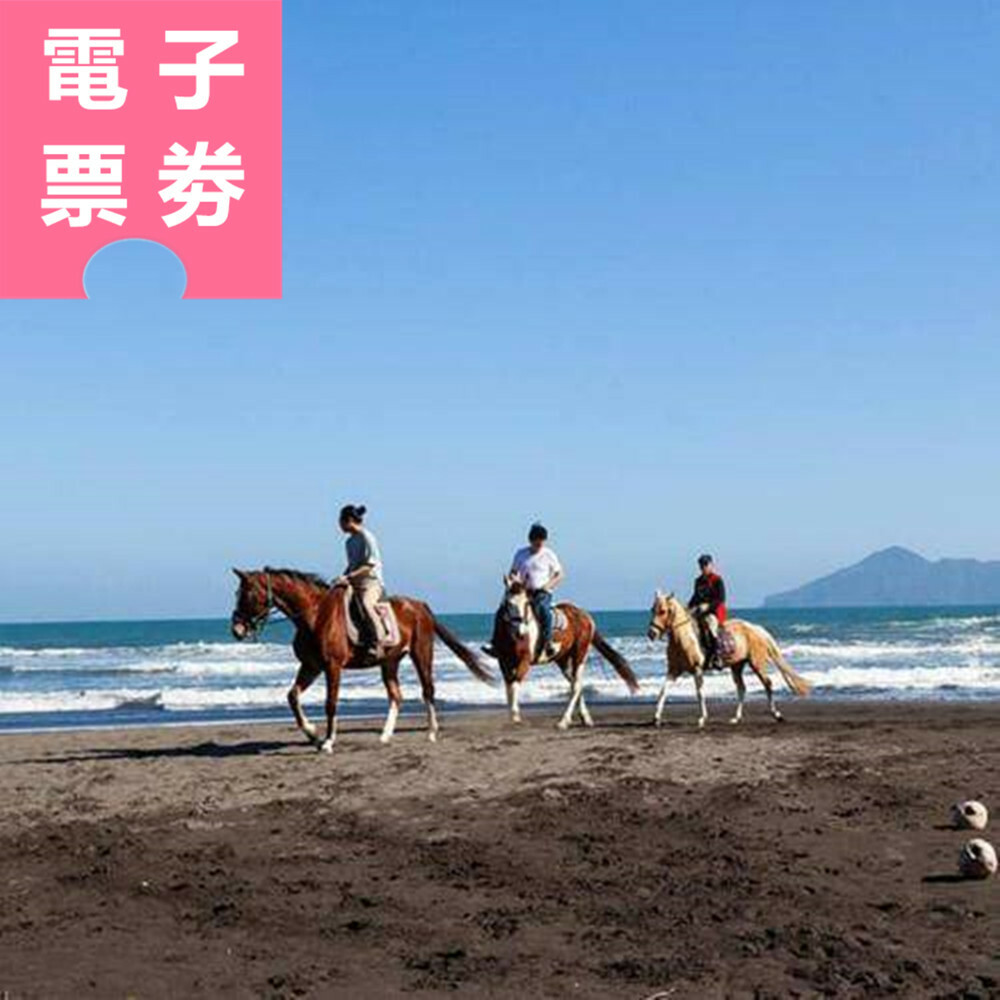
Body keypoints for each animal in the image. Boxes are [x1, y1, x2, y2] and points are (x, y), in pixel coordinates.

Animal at [230, 568, 495, 752]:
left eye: (248, 594)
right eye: (237, 593)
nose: (237, 630)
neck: (314, 615)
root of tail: (420, 605)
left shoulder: (332, 666)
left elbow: (330, 703)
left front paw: (328, 742)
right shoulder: (311, 666)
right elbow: (292, 696)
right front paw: (313, 734)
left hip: (421, 653)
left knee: (428, 690)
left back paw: (431, 732)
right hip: (389, 662)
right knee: (396, 695)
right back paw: (385, 736)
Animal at [493, 574, 640, 728]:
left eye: (527, 604)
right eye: (508, 604)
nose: (520, 632)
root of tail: (585, 616)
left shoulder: (525, 660)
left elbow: (514, 684)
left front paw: (515, 715)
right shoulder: (503, 662)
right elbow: (508, 686)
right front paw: (512, 714)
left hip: (580, 654)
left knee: (576, 685)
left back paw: (564, 721)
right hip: (562, 660)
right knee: (576, 683)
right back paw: (585, 718)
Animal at [646, 591, 811, 728]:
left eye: (663, 611)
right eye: (652, 610)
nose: (651, 634)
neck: (683, 639)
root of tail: (755, 628)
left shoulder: (697, 670)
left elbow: (700, 693)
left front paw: (702, 719)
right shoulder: (674, 671)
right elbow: (663, 692)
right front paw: (656, 718)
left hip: (756, 664)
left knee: (767, 684)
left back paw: (777, 715)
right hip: (737, 666)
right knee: (742, 688)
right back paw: (736, 718)